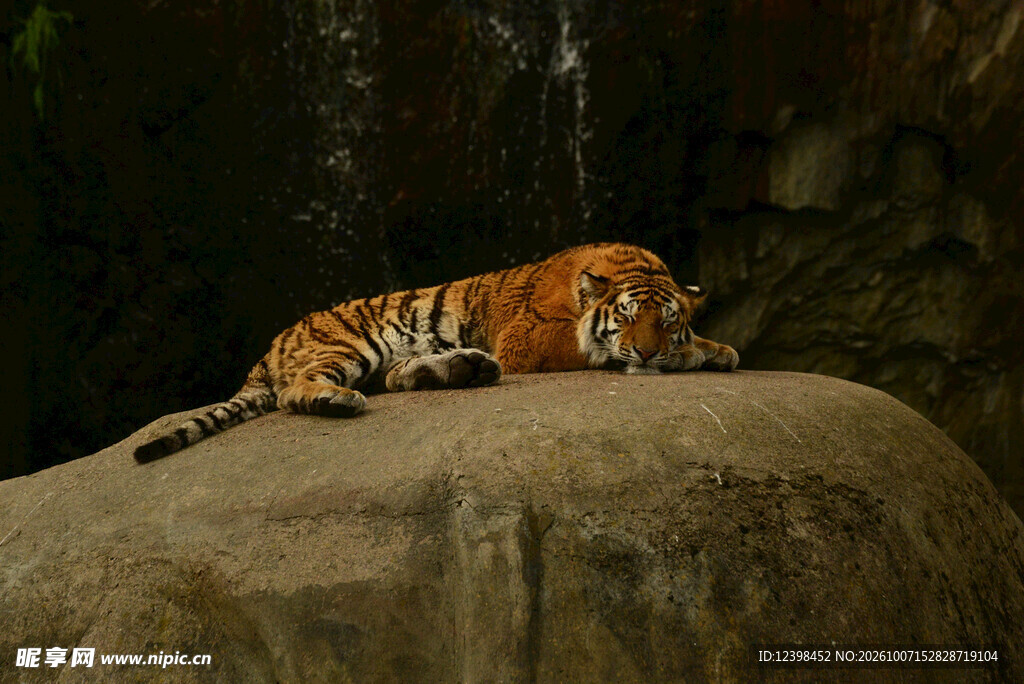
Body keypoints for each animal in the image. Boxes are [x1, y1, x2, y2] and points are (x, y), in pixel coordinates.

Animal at [133, 243, 738, 463]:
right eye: (628, 318)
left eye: (666, 321)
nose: (650, 353)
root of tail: (269, 347)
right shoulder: (529, 338)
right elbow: (592, 346)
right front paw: (687, 356)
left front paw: (715, 348)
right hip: (349, 344)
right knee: (297, 392)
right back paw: (337, 400)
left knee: (397, 377)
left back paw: (460, 368)